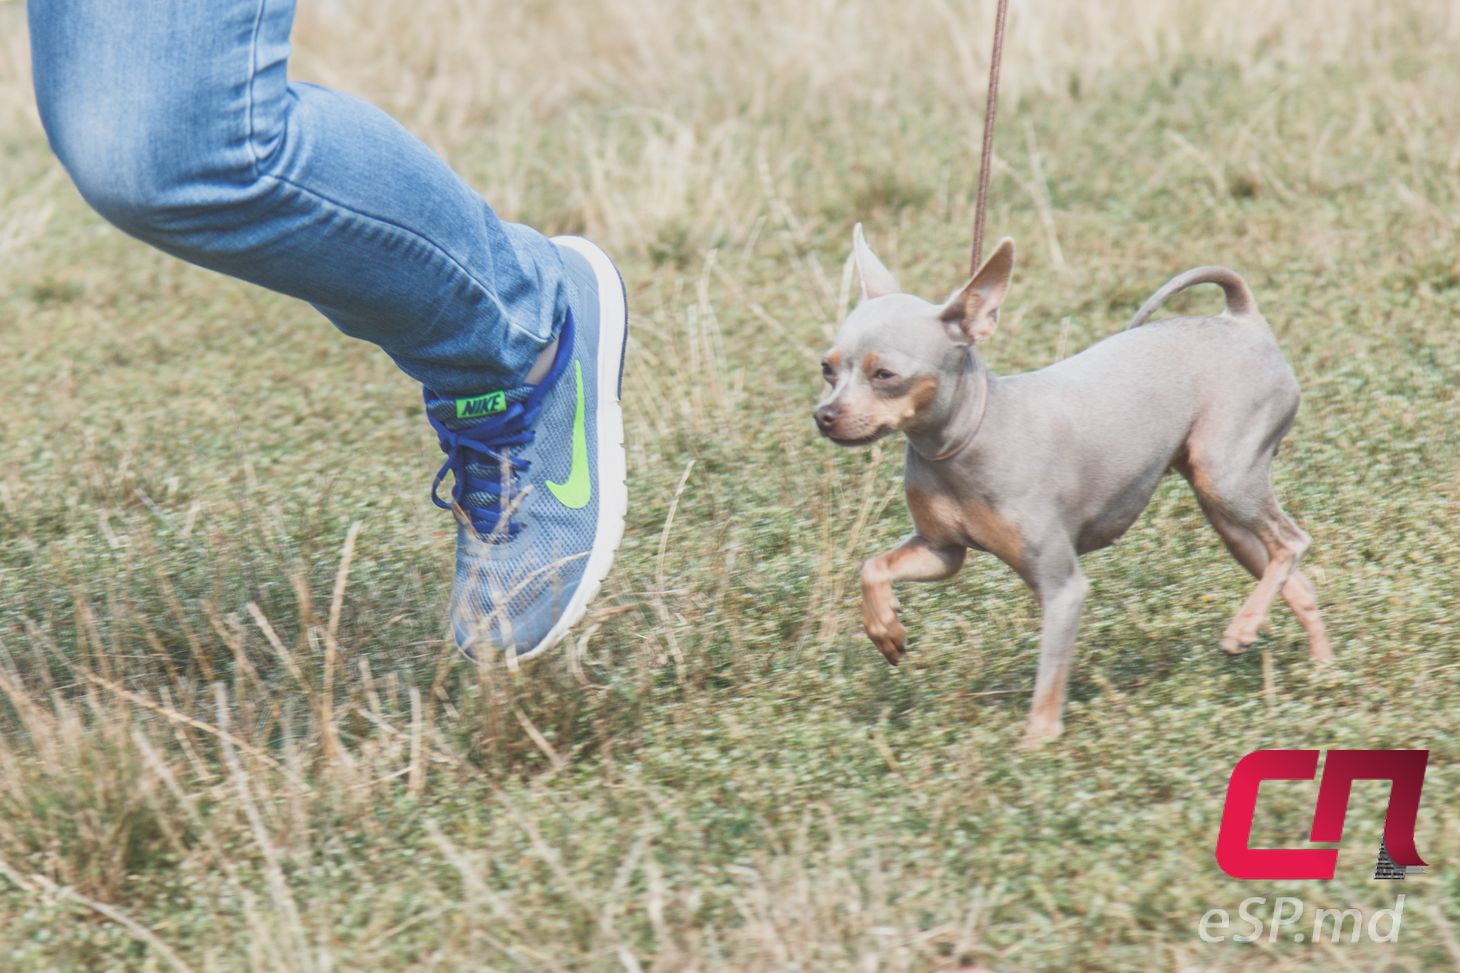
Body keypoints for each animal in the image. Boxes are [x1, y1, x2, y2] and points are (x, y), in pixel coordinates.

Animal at [817, 224, 1331, 742]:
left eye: (885, 375)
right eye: (827, 369)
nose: (824, 416)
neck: (965, 441)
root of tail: (1242, 320)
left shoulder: (1062, 588)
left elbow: (1048, 680)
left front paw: (1037, 745)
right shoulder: (941, 551)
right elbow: (872, 567)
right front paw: (885, 628)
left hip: (1225, 477)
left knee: (1293, 541)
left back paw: (1244, 629)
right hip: (1229, 520)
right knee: (1297, 580)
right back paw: (1322, 669)